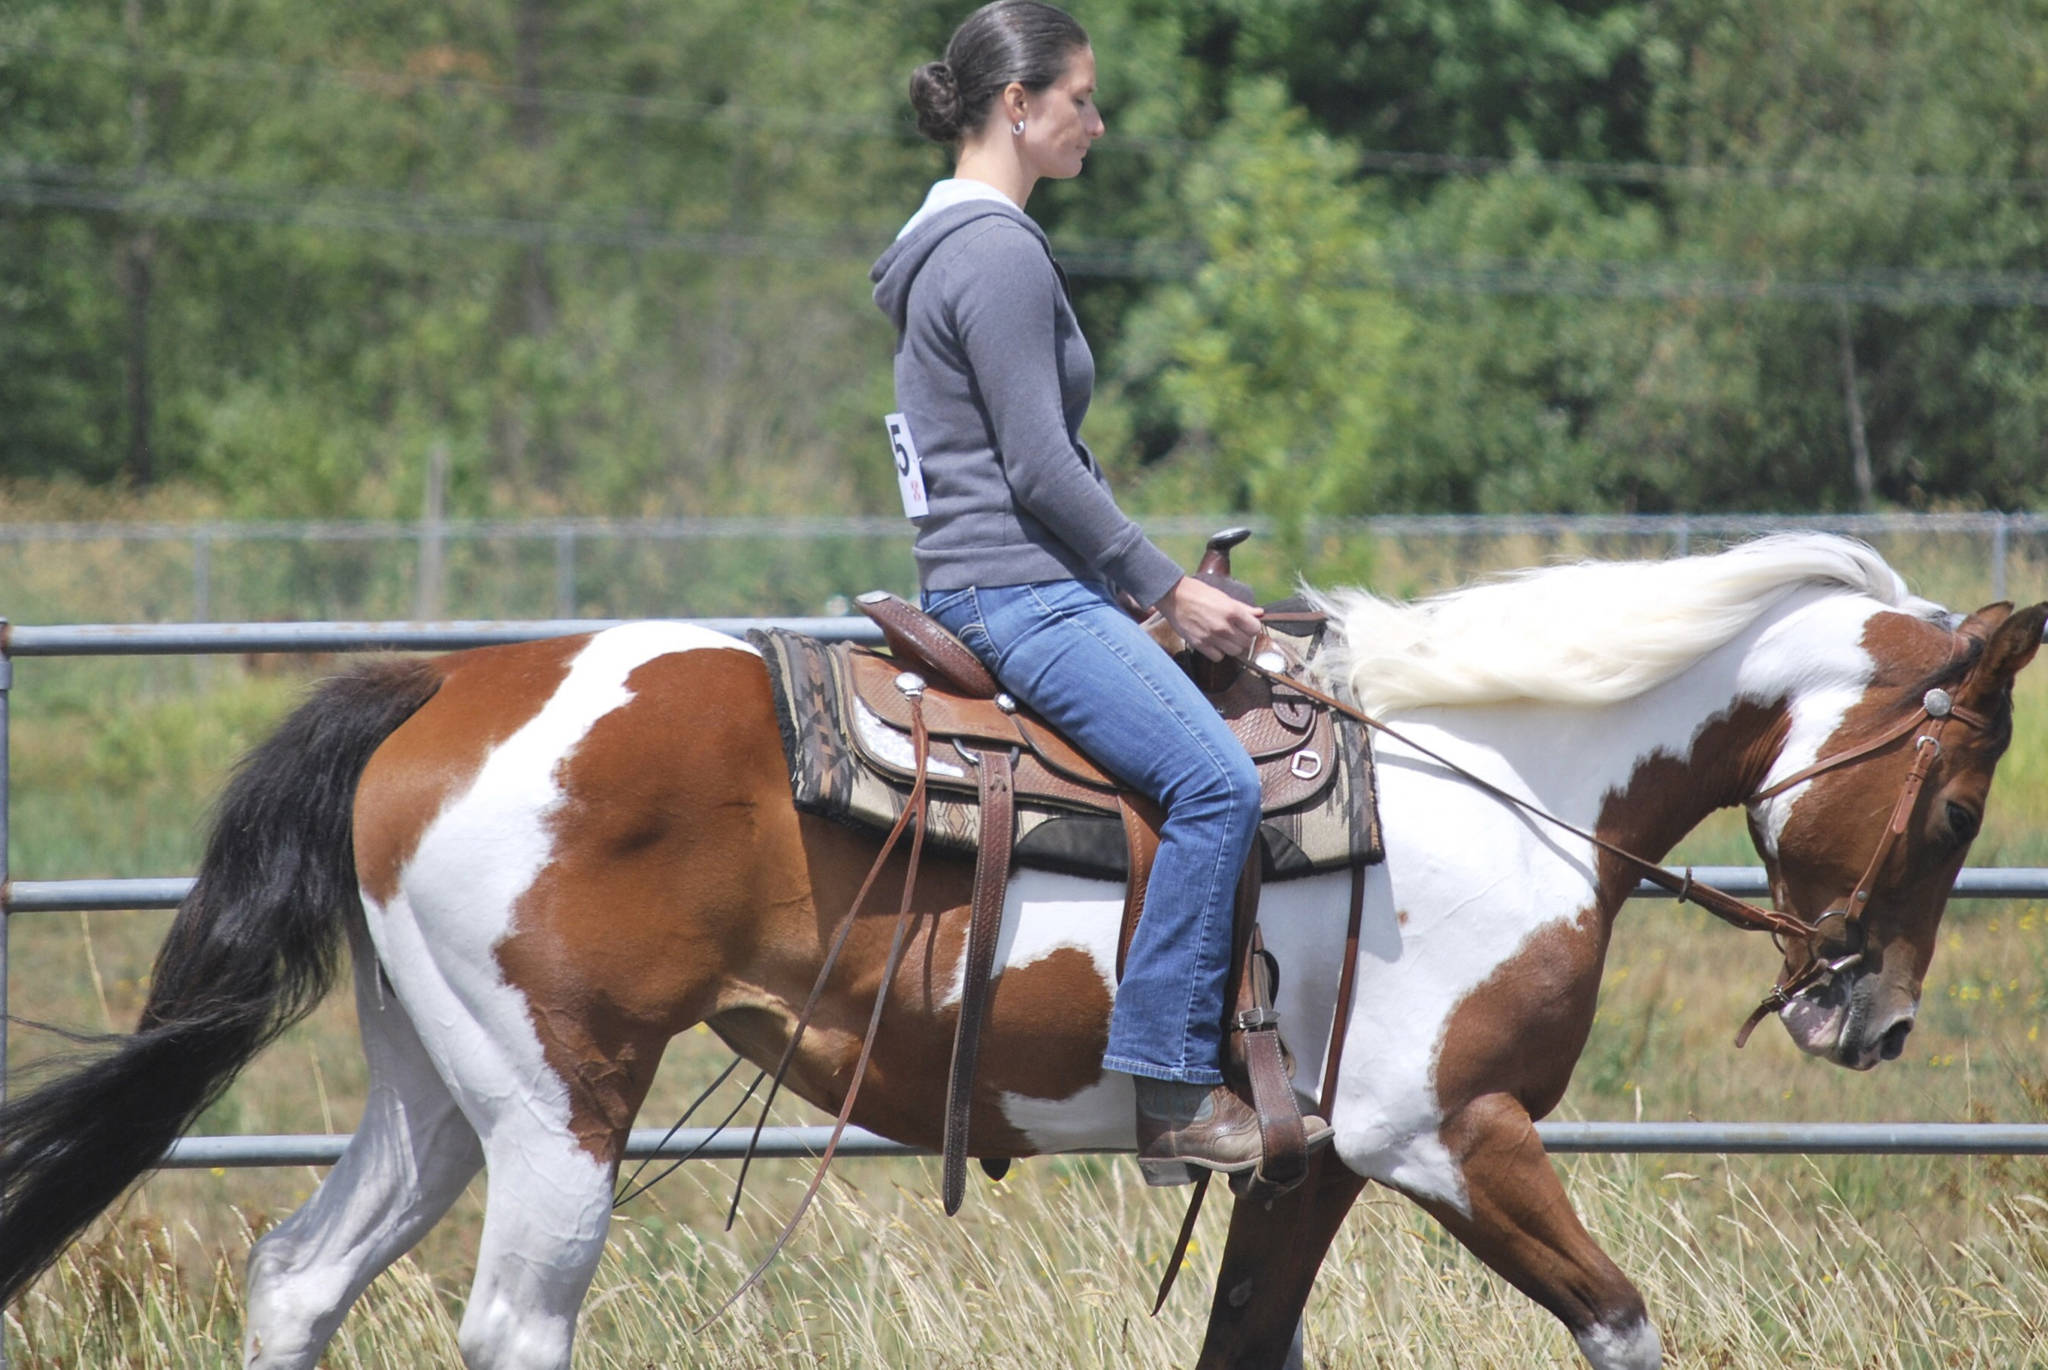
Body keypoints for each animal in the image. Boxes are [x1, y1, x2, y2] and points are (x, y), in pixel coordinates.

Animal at [4, 532, 2048, 1367]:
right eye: (1959, 803)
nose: (1870, 1020)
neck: (1498, 777)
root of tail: (444, 683)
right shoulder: (1447, 1133)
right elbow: (1622, 1322)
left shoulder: (1309, 1167)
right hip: (558, 1101)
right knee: (514, 1323)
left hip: (439, 1086)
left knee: (297, 1276)